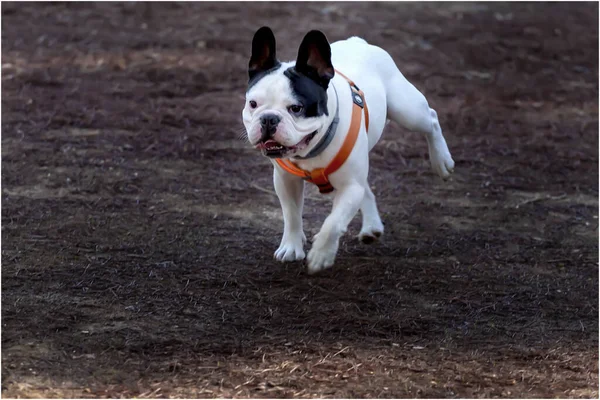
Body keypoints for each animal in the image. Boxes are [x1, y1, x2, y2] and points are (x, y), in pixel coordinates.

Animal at [241, 26, 452, 274]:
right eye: (253, 104)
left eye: (296, 108)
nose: (268, 119)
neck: (312, 149)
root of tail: (358, 42)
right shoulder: (286, 181)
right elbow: (291, 214)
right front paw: (291, 248)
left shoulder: (350, 187)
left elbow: (333, 223)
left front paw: (321, 254)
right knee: (366, 187)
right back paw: (371, 226)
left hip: (407, 111)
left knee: (432, 119)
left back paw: (442, 161)